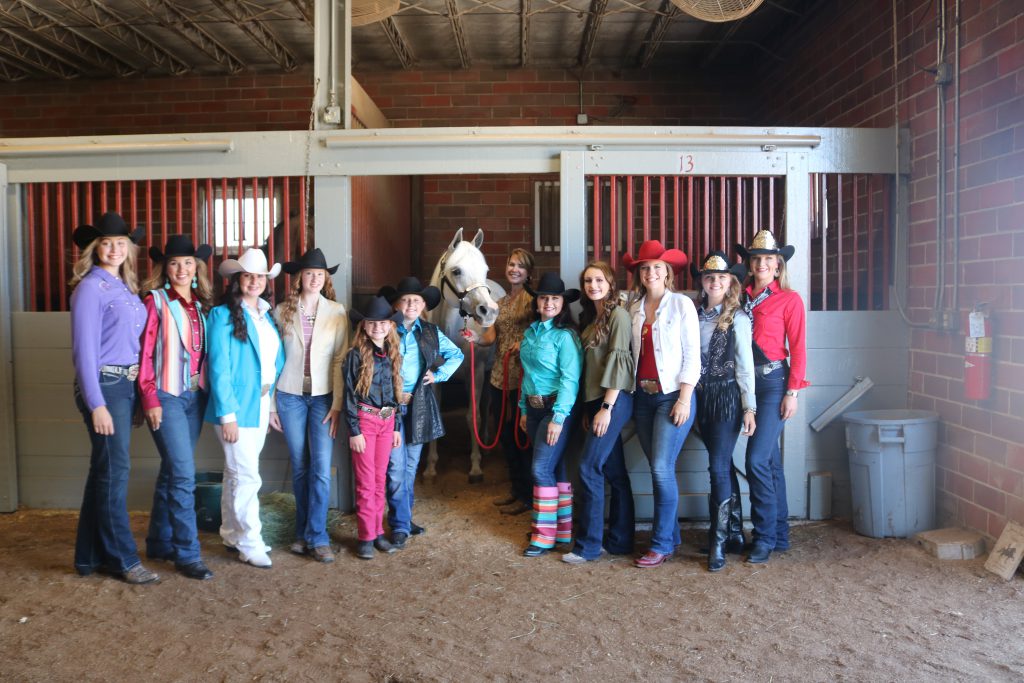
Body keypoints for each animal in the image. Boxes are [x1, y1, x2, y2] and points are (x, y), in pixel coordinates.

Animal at [423, 228, 503, 481]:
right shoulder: (434, 375)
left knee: (485, 405)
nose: (489, 312)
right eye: (456, 271)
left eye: (485, 270)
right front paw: (430, 466)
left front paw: (475, 466)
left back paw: (485, 443)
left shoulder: (475, 372)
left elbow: (473, 415)